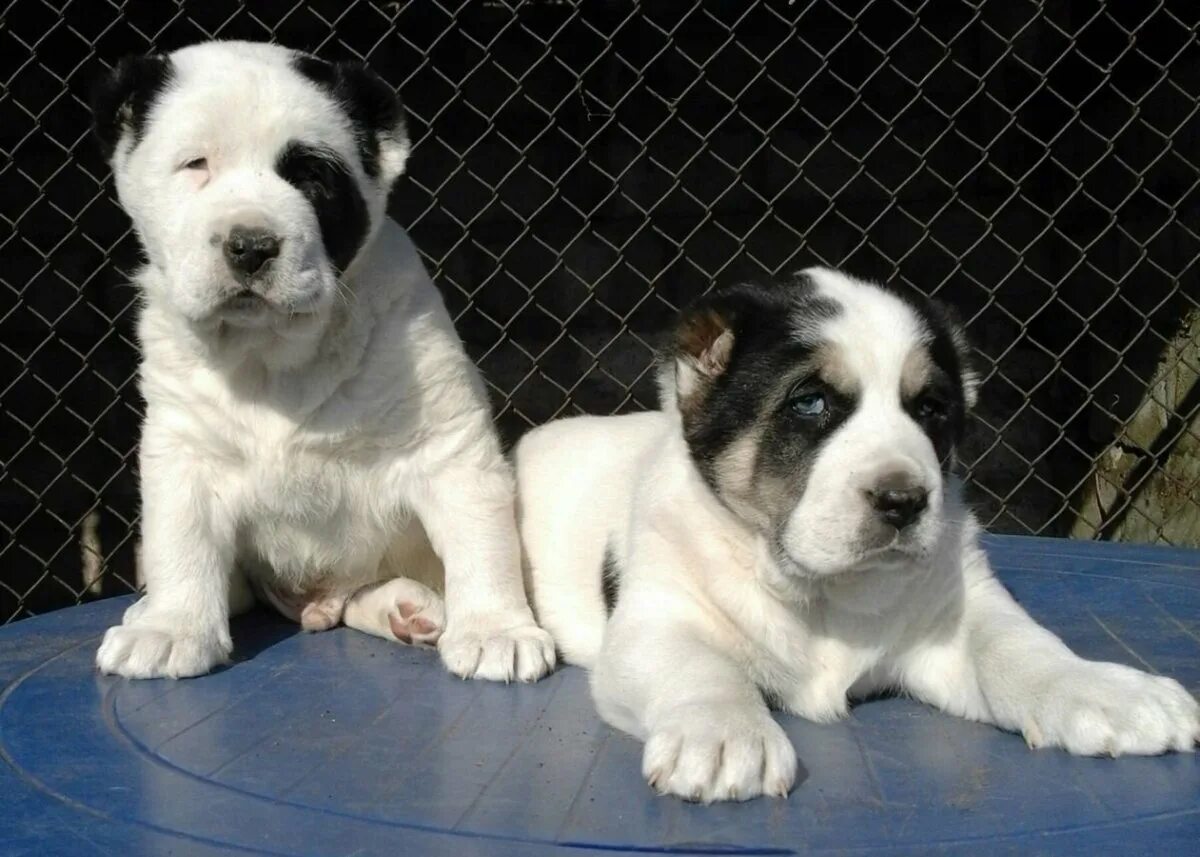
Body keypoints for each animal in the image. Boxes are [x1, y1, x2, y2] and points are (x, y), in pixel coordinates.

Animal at [91, 41, 554, 681]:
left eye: (311, 176)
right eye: (196, 165)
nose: (251, 245)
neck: (273, 357)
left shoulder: (447, 446)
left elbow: (482, 539)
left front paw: (496, 630)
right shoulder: (184, 450)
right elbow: (179, 541)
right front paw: (170, 627)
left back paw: (409, 609)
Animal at [516, 266, 1200, 801]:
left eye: (931, 409)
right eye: (810, 402)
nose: (904, 500)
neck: (822, 591)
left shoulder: (958, 615)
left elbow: (1024, 647)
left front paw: (1107, 691)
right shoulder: (656, 620)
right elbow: (698, 667)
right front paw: (725, 733)